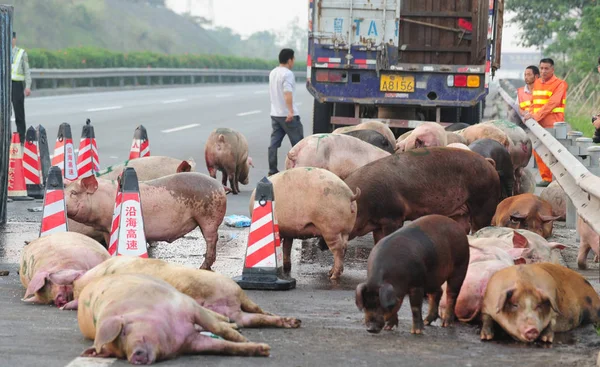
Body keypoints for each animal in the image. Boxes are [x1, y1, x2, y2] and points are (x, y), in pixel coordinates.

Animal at [64, 172, 226, 270]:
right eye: (64, 192)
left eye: (74, 193)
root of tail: (220, 186)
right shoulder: (105, 229)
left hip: (208, 217)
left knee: (212, 238)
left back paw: (202, 267)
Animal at [77, 274, 270, 366]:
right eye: (121, 354)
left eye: (124, 332)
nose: (133, 357)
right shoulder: (191, 343)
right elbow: (224, 347)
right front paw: (263, 349)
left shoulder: (187, 306)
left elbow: (218, 329)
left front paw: (249, 341)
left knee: (218, 318)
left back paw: (234, 324)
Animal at [342, 147, 502, 244]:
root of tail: (489, 163)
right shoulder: (379, 223)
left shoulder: (393, 216)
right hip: (461, 212)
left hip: (484, 202)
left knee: (479, 226)